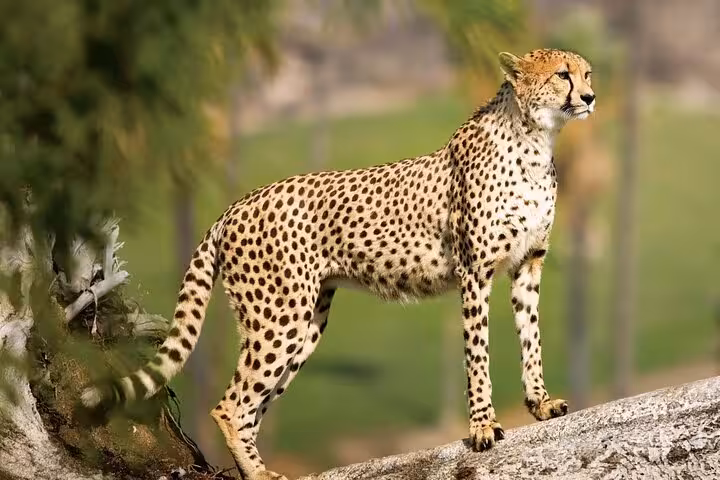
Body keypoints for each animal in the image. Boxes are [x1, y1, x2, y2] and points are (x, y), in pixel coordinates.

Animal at [81, 48, 595, 480]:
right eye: (561, 75)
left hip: (305, 324)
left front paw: (540, 403)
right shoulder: (475, 271)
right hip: (279, 318)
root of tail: (236, 205)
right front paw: (484, 426)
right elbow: (478, 353)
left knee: (251, 405)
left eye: (586, 73)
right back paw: (258, 473)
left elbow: (531, 338)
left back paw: (259, 467)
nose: (590, 96)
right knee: (230, 405)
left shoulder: (527, 265)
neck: (535, 140)